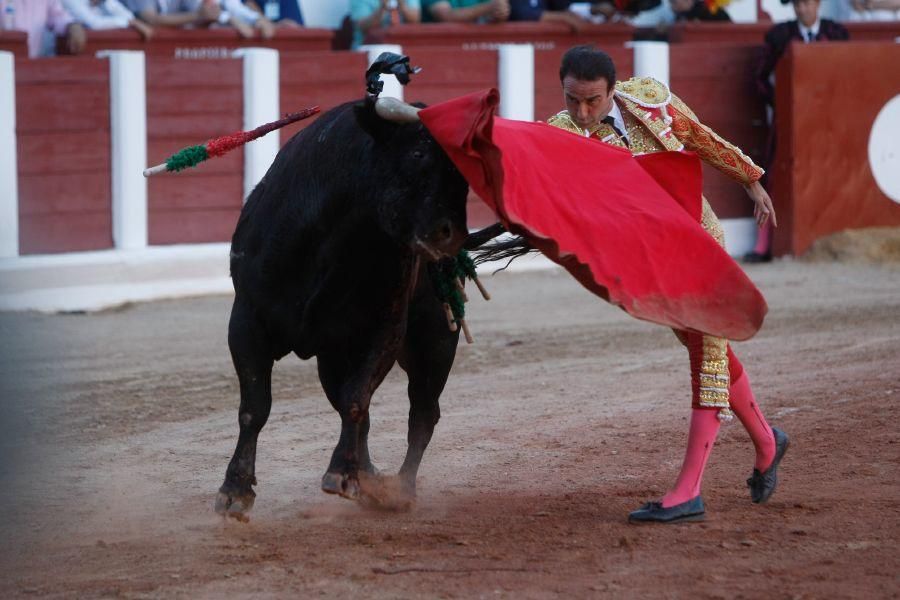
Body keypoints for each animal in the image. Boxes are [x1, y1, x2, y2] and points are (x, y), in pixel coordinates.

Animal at [215, 98, 502, 516]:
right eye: (418, 154)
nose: (451, 235)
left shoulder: (385, 327)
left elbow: (356, 397)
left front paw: (342, 474)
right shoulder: (247, 322)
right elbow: (255, 407)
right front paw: (235, 490)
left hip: (434, 342)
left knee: (423, 413)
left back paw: (398, 489)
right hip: (333, 357)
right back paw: (370, 478)